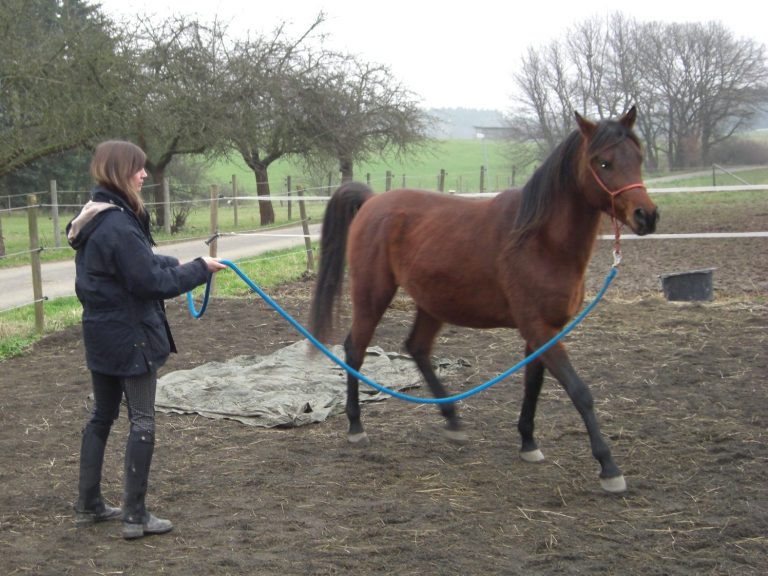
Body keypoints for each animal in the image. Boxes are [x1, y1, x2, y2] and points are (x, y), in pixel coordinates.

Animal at [308, 106, 656, 492]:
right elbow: (580, 391)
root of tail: (371, 202)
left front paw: (528, 442)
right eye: (603, 162)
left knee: (417, 347)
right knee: (355, 349)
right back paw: (356, 426)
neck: (540, 239)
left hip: (433, 303)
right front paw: (609, 466)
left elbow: (533, 385)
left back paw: (453, 420)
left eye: (638, 157)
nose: (646, 216)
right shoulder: (540, 330)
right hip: (373, 296)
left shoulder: (543, 331)